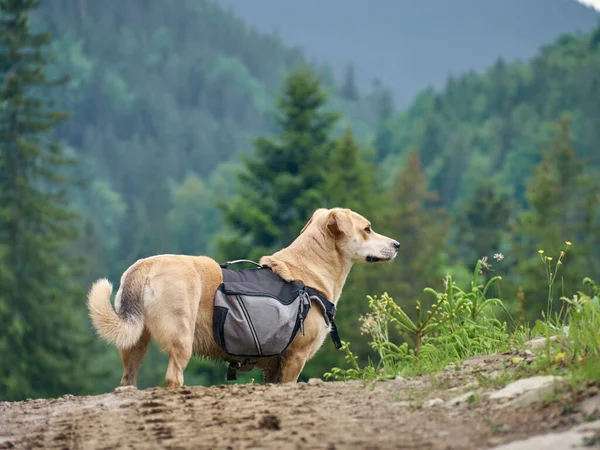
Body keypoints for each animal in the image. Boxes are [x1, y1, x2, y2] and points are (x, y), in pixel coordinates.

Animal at [86, 207, 398, 386]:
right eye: (367, 229)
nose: (396, 244)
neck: (309, 269)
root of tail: (144, 266)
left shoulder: (273, 367)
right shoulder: (295, 358)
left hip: (135, 344)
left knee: (127, 381)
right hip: (180, 338)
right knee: (173, 378)